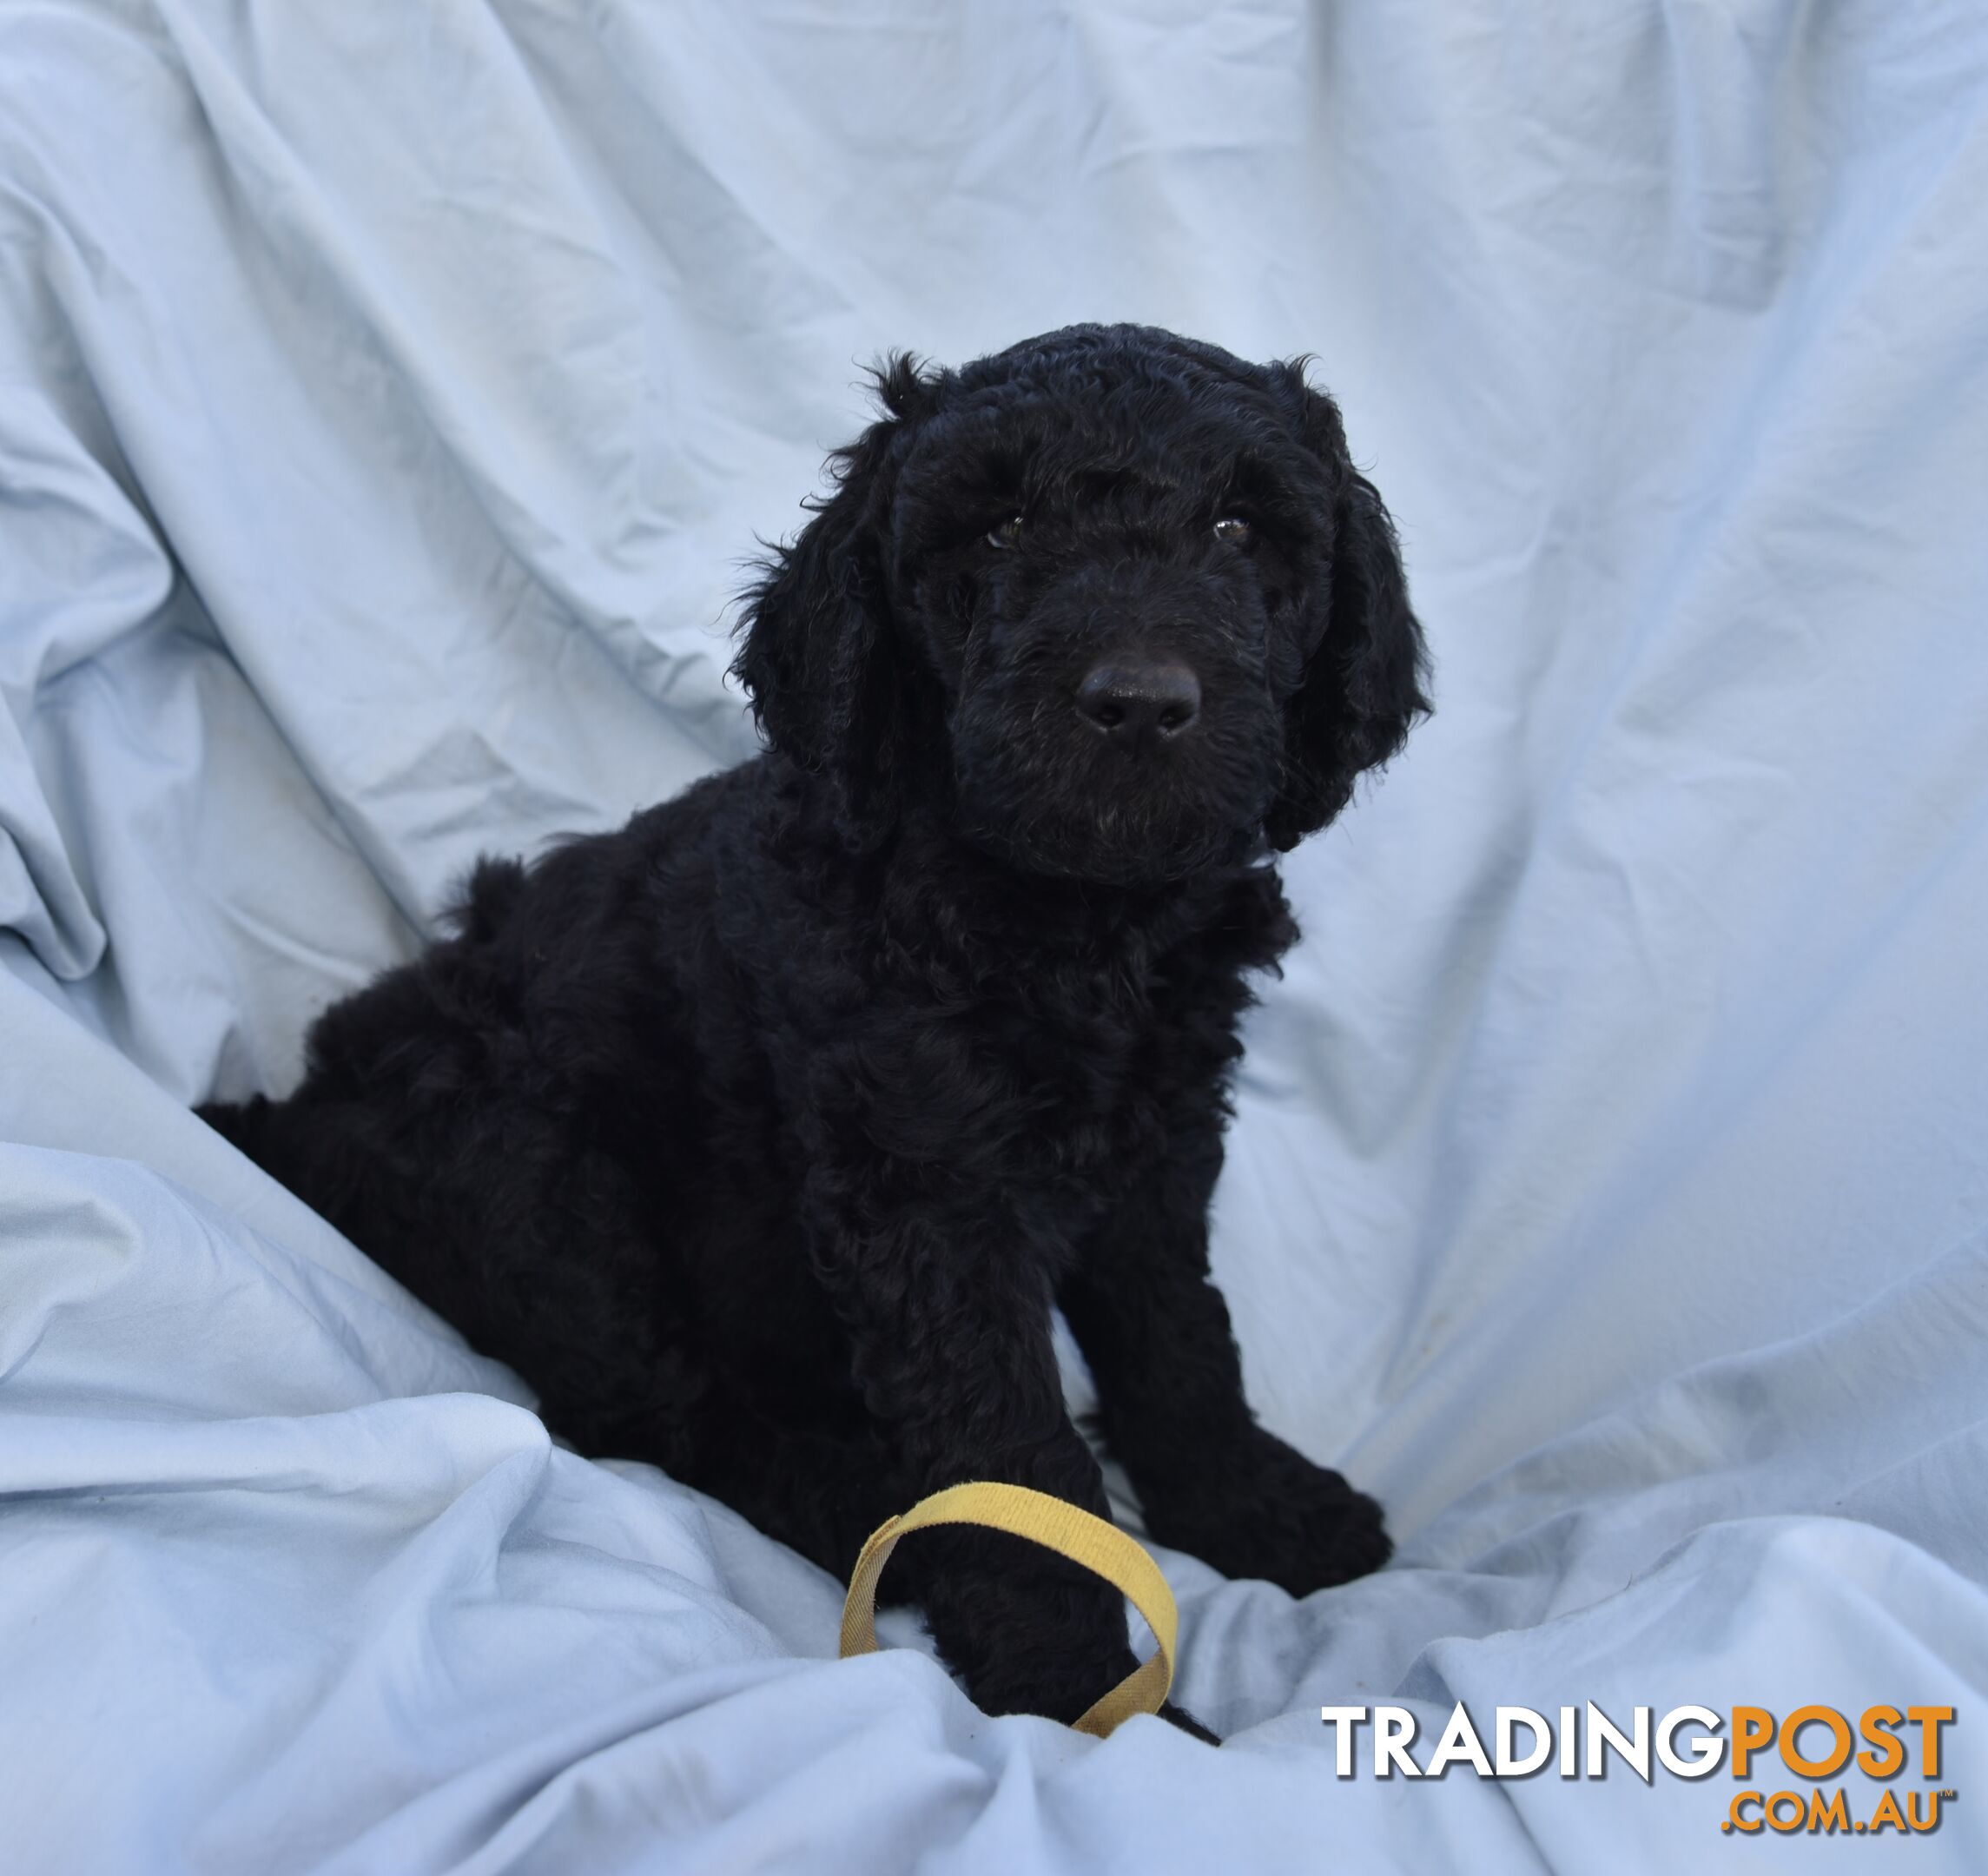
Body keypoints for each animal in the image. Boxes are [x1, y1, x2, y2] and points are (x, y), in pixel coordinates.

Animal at [205, 326, 1431, 1741]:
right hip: (536, 1173)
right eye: (1004, 528)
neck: (1070, 927)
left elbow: (1180, 1336)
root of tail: (301, 1114)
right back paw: (864, 1512)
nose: (1136, 702)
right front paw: (1077, 1696)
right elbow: (1010, 1453)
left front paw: (1254, 1509)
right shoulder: (924, 1192)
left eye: (1238, 529)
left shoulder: (1162, 1140)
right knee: (648, 1414)